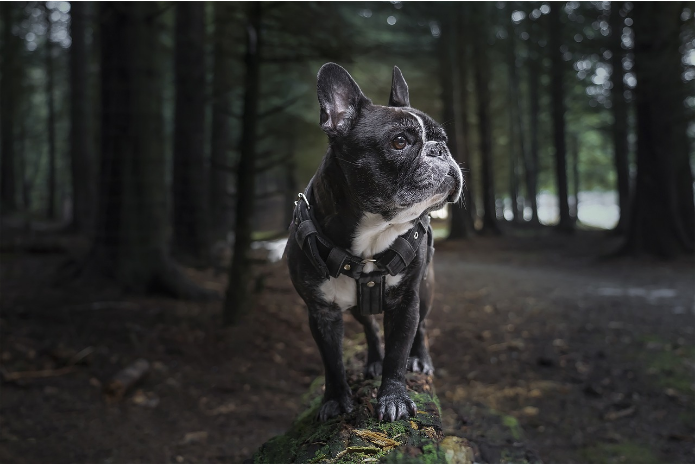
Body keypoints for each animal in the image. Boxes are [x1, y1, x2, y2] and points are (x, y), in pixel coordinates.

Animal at [286, 63, 464, 422]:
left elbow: (399, 352)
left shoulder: (406, 301)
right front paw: (336, 400)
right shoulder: (321, 313)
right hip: (357, 308)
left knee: (422, 327)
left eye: (442, 140)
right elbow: (332, 361)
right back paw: (373, 361)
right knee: (369, 325)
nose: (440, 150)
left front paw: (394, 397)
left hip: (426, 288)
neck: (372, 235)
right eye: (399, 142)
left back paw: (420, 359)